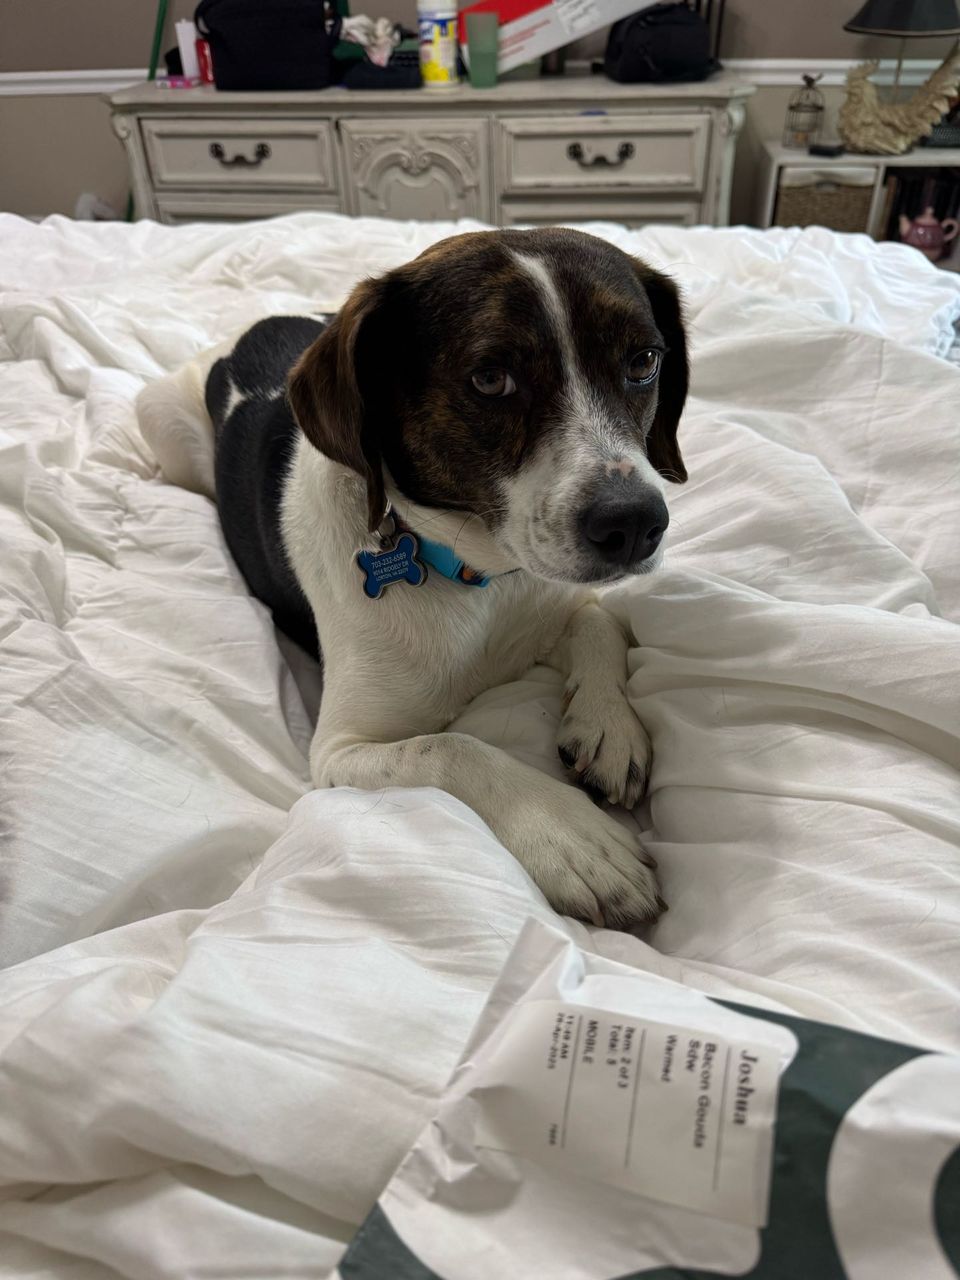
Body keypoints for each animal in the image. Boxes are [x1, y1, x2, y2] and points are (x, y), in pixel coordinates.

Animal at [137, 227, 688, 930]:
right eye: (490, 378)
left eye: (642, 361)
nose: (636, 525)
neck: (477, 572)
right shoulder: (338, 752)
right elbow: (450, 748)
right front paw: (574, 840)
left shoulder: (546, 595)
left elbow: (597, 619)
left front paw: (608, 725)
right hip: (161, 421)